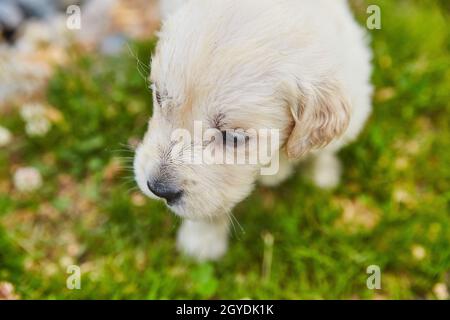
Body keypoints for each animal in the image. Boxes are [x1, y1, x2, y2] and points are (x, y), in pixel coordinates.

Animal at [134, 0, 372, 260]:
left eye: (233, 137)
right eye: (158, 97)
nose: (158, 189)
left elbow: (323, 150)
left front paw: (321, 175)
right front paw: (202, 241)